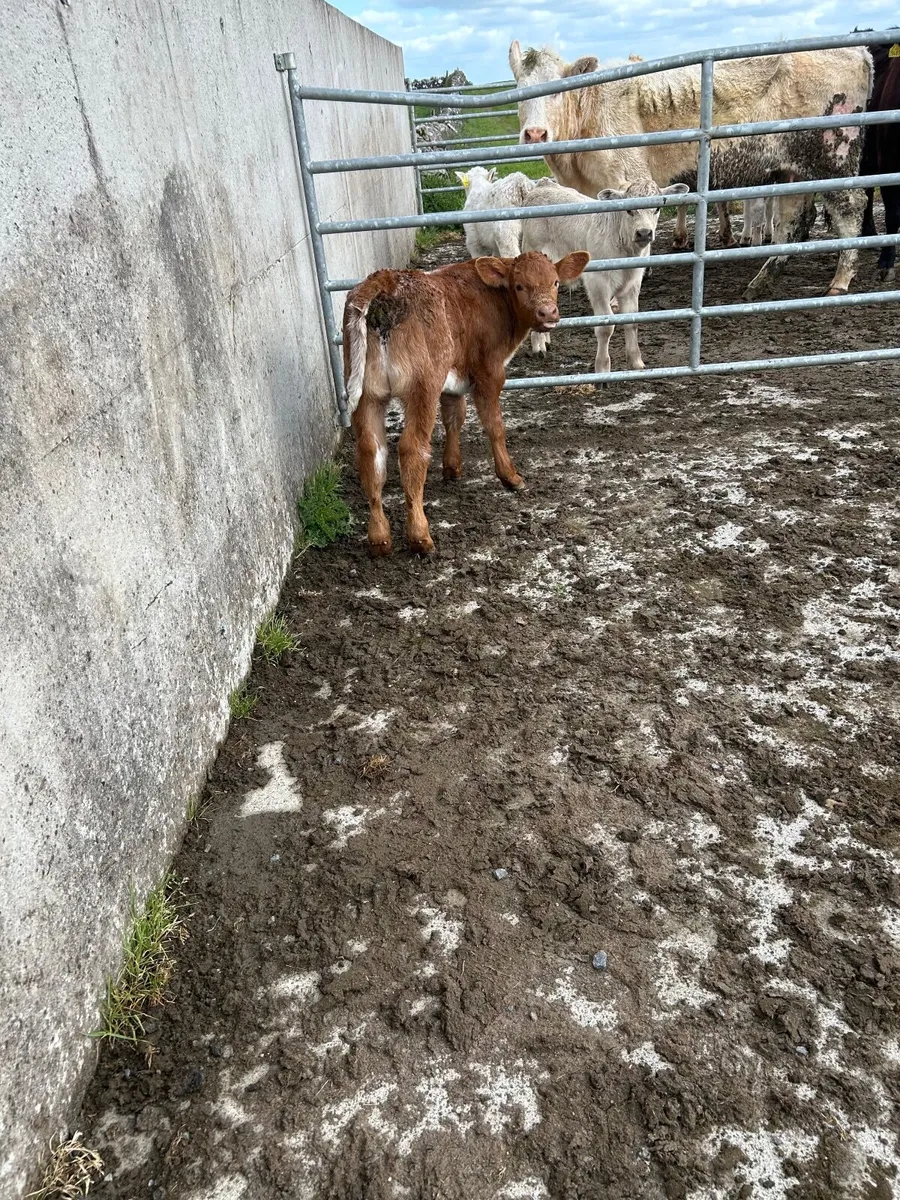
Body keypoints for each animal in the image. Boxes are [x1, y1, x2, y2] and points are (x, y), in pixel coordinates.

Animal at [342, 250, 589, 555]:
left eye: (555, 282)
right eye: (519, 286)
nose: (548, 313)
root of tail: (385, 279)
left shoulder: (453, 380)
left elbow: (454, 417)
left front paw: (452, 467)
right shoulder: (489, 373)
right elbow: (494, 425)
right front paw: (510, 477)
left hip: (367, 394)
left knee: (371, 451)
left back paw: (379, 538)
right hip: (421, 388)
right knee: (412, 449)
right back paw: (420, 535)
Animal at [508, 40, 872, 298]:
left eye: (558, 90)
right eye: (517, 91)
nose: (535, 134)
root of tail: (859, 51)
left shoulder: (627, 177)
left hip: (833, 157)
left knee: (851, 208)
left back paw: (840, 279)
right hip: (791, 172)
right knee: (794, 223)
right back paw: (761, 281)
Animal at [521, 176, 689, 373]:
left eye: (657, 208)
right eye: (628, 210)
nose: (644, 233)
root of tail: (544, 183)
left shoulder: (633, 283)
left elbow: (632, 319)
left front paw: (636, 361)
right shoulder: (598, 284)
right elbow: (605, 327)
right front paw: (602, 367)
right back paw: (538, 346)